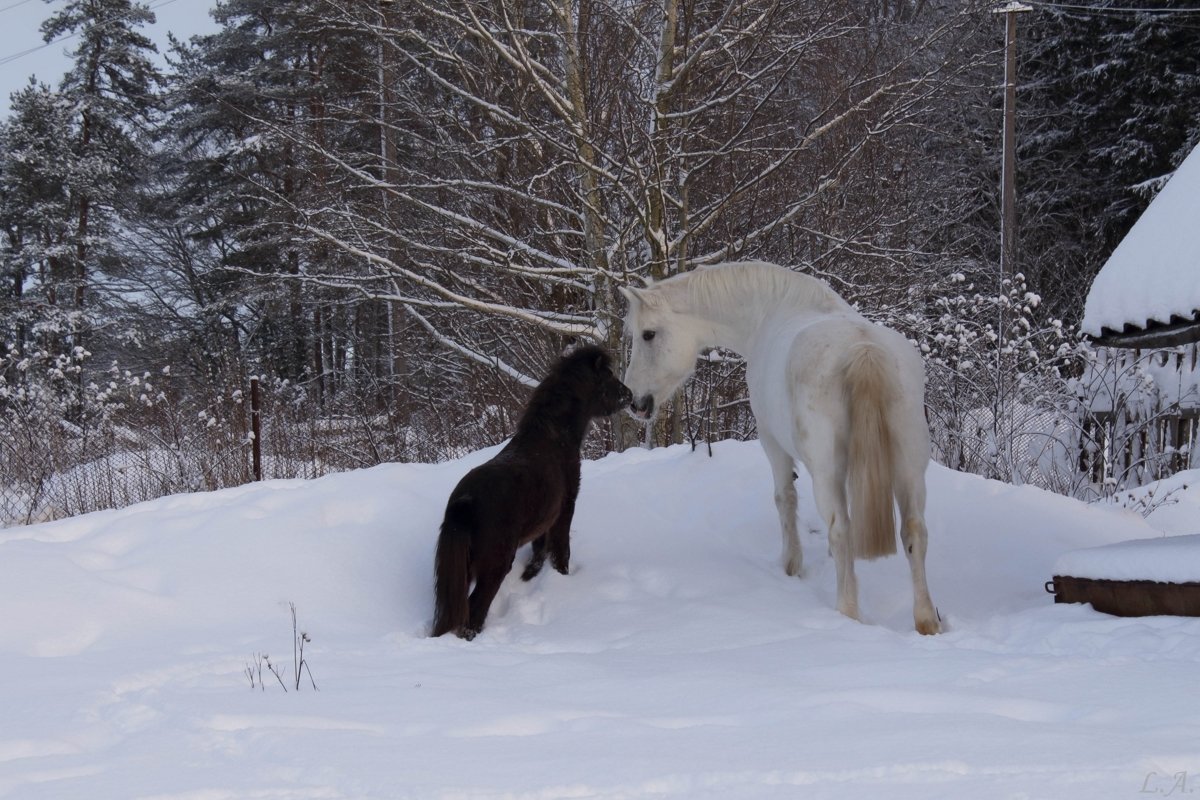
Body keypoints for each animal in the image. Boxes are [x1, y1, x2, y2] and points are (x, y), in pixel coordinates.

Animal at [434, 345, 638, 638]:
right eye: (608, 376)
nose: (630, 395)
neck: (554, 438)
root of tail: (465, 502)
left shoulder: (544, 518)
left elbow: (540, 550)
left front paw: (530, 576)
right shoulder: (565, 507)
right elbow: (561, 549)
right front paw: (563, 576)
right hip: (494, 568)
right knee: (474, 613)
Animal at [624, 260, 940, 633]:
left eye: (648, 334)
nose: (635, 402)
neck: (772, 310)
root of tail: (864, 351)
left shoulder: (771, 441)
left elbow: (785, 498)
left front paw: (791, 564)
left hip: (827, 471)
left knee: (842, 530)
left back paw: (846, 612)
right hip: (910, 470)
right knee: (914, 531)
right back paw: (926, 620)